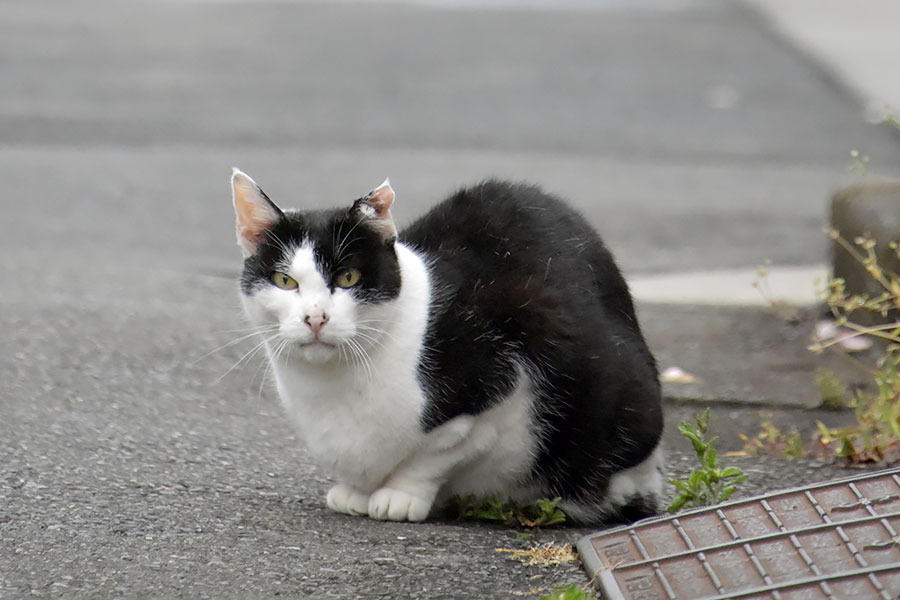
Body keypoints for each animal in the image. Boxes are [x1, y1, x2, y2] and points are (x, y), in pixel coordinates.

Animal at [230, 170, 668, 524]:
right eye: (285, 281)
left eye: (349, 277)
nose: (315, 318)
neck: (329, 386)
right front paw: (356, 492)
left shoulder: (503, 381)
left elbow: (435, 455)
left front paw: (399, 495)